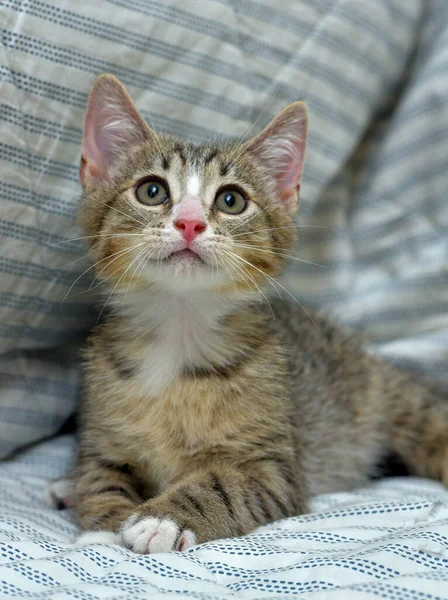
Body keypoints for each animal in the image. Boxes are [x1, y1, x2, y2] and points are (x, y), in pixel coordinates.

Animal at [48, 74, 448, 552]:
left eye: (231, 200)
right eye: (152, 191)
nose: (189, 223)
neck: (178, 338)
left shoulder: (274, 468)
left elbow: (223, 485)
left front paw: (162, 519)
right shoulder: (102, 437)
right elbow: (99, 478)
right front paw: (104, 530)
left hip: (392, 400)